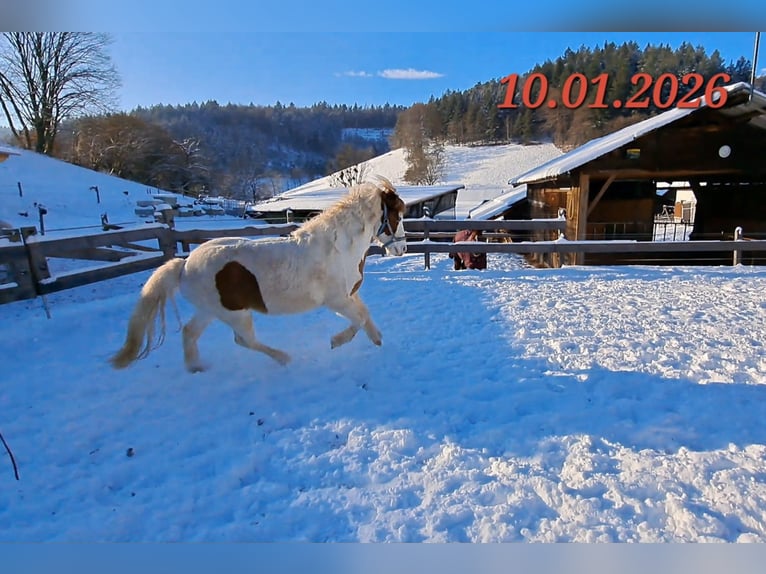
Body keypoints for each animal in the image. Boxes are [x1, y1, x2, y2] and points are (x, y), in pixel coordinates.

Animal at [110, 177, 407, 372]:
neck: (337, 248)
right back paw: (284, 358)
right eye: (398, 216)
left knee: (190, 332)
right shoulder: (336, 301)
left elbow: (365, 315)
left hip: (210, 311)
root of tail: (184, 265)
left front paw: (377, 339)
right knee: (244, 340)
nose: (402, 248)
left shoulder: (349, 296)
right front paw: (336, 342)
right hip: (235, 314)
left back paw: (197, 368)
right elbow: (357, 320)